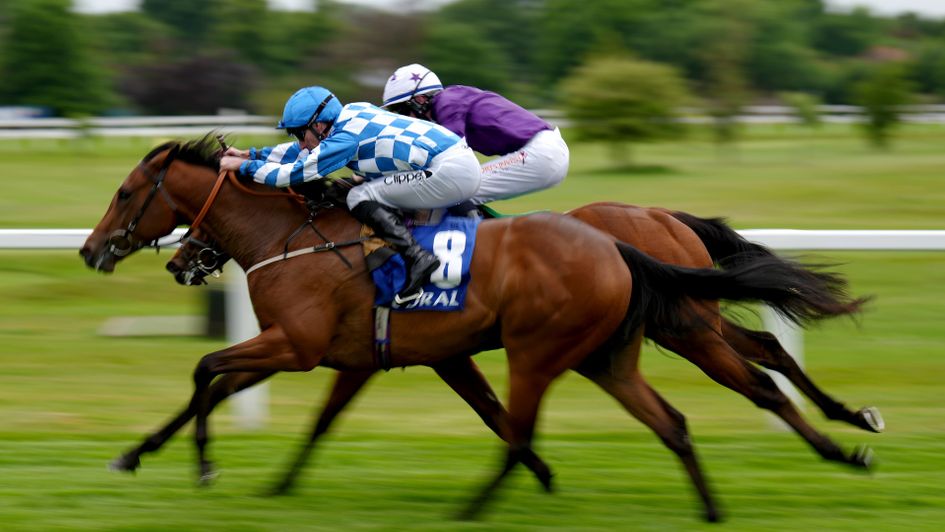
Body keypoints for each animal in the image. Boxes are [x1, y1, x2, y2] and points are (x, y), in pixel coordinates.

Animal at [79, 137, 864, 520]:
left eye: (125, 192)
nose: (91, 250)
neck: (297, 238)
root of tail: (640, 230)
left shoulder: (302, 348)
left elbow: (208, 372)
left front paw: (203, 465)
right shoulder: (377, 355)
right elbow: (240, 393)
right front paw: (141, 454)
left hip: (636, 334)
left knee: (755, 374)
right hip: (624, 346)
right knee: (717, 387)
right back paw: (828, 445)